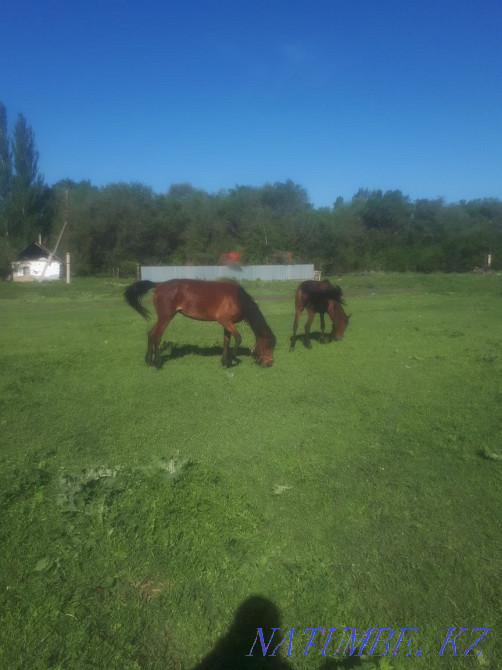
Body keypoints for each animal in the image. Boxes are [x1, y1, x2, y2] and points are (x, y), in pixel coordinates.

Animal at [124, 279, 276, 368]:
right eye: (268, 345)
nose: (268, 363)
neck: (238, 299)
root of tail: (159, 285)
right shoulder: (225, 321)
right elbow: (238, 338)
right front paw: (232, 358)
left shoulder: (227, 323)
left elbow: (226, 341)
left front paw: (225, 361)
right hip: (165, 318)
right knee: (156, 337)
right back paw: (157, 363)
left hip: (162, 318)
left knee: (150, 334)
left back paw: (148, 360)